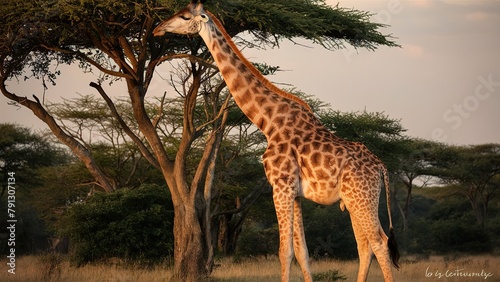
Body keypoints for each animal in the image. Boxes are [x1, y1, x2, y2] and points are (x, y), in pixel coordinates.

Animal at [154, 1, 400, 280]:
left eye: (185, 17)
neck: (268, 122)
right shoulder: (295, 193)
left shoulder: (280, 186)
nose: (157, 29)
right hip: (354, 200)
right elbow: (302, 252)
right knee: (364, 245)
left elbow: (285, 252)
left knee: (379, 242)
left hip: (362, 198)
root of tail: (381, 167)